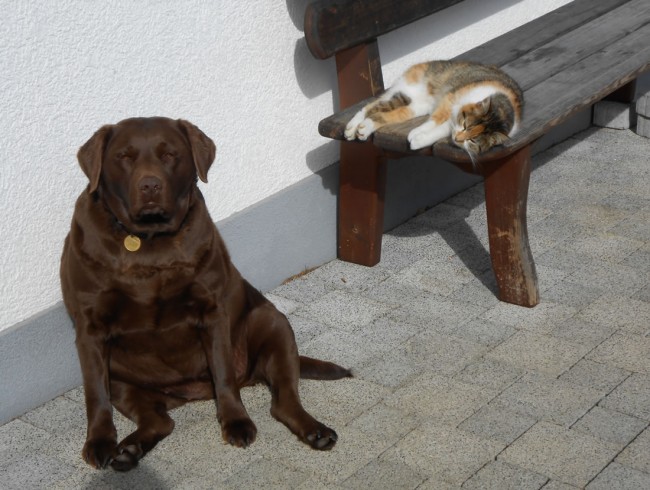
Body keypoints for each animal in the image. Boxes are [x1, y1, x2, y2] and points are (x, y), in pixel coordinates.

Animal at [62, 117, 350, 470]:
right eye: (124, 156)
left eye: (169, 154)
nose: (149, 186)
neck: (148, 242)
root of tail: (192, 390)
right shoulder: (91, 330)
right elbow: (94, 394)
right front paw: (100, 441)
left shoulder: (212, 312)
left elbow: (223, 373)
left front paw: (236, 421)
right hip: (120, 376)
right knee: (160, 420)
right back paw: (128, 450)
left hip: (273, 322)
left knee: (283, 401)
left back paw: (315, 431)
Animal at [344, 60, 520, 164]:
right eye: (465, 125)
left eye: (473, 141)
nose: (458, 138)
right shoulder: (449, 100)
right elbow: (434, 120)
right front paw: (415, 132)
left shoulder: (451, 125)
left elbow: (439, 131)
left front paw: (418, 140)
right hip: (409, 92)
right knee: (371, 106)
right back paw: (354, 127)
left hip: (415, 106)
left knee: (385, 112)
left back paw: (361, 128)